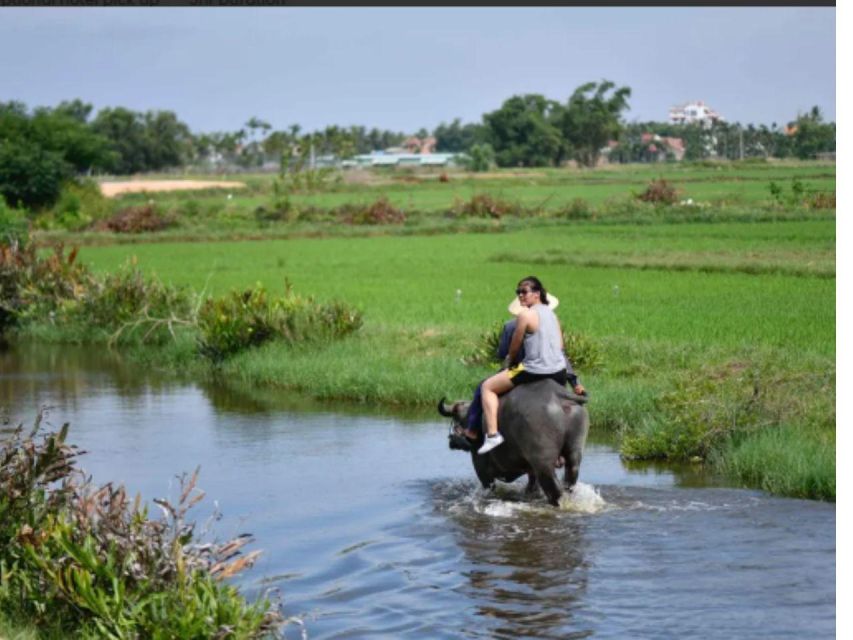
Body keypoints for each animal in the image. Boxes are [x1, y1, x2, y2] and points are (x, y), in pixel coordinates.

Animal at [440, 380, 584, 504]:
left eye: (456, 417)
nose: (452, 441)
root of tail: (559, 396)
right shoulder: (531, 469)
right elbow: (532, 486)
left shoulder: (481, 466)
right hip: (574, 451)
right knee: (570, 478)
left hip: (543, 462)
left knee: (555, 489)